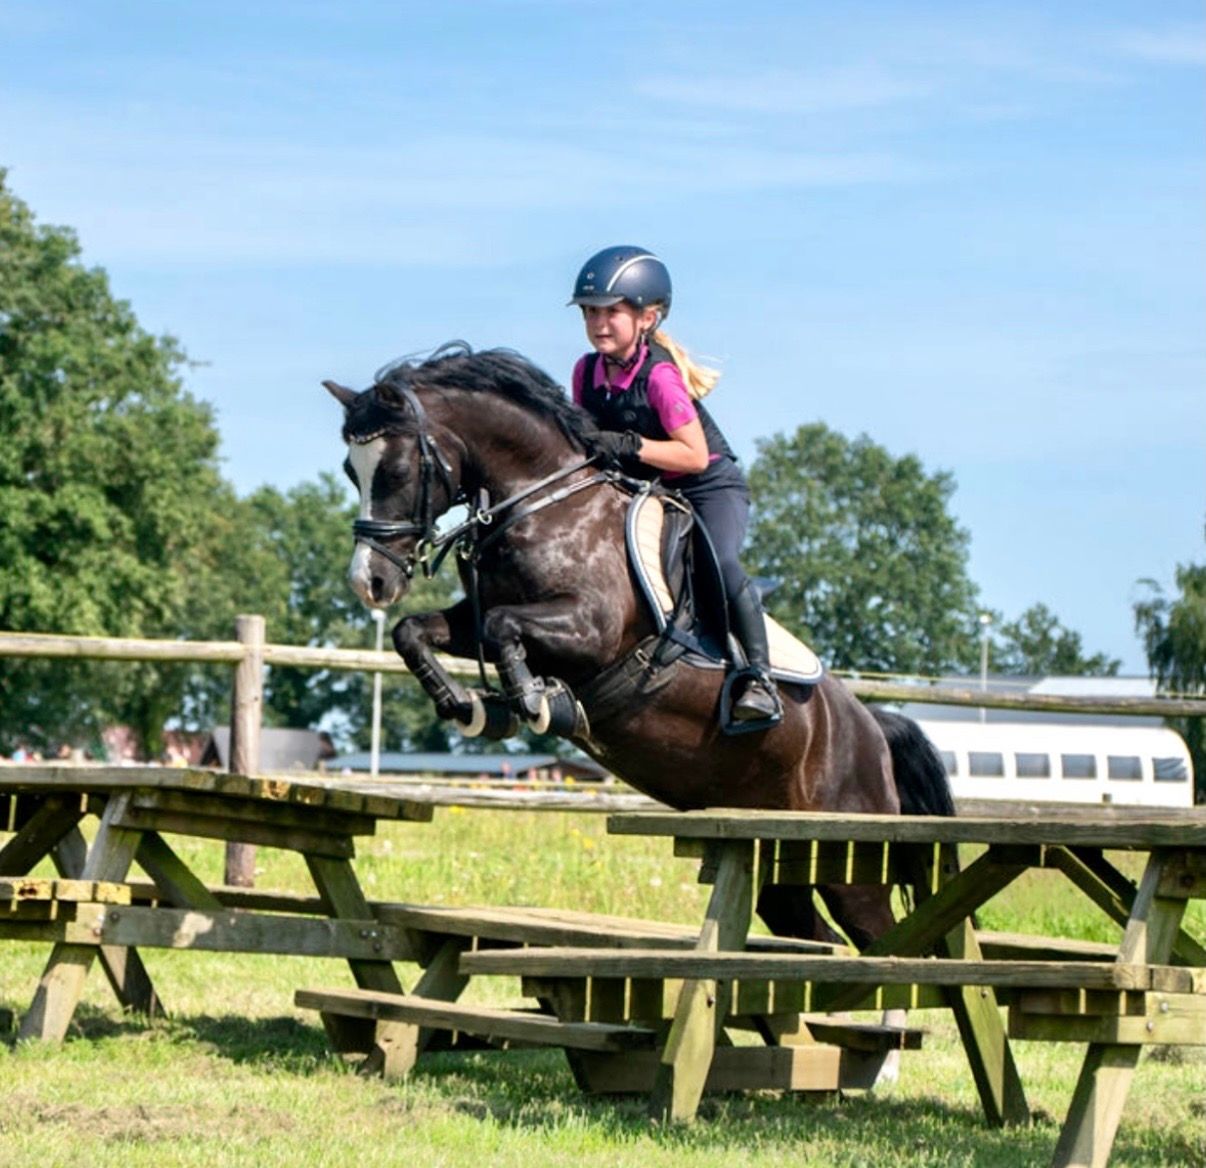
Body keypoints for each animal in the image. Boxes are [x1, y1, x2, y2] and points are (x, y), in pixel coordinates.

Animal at [325, 343, 954, 952]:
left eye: (397, 470)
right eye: (351, 471)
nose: (369, 582)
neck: (545, 503)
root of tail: (873, 729)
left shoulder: (589, 630)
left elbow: (505, 628)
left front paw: (538, 703)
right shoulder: (473, 621)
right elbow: (415, 631)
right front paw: (468, 705)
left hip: (850, 863)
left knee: (882, 940)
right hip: (774, 856)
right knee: (813, 936)